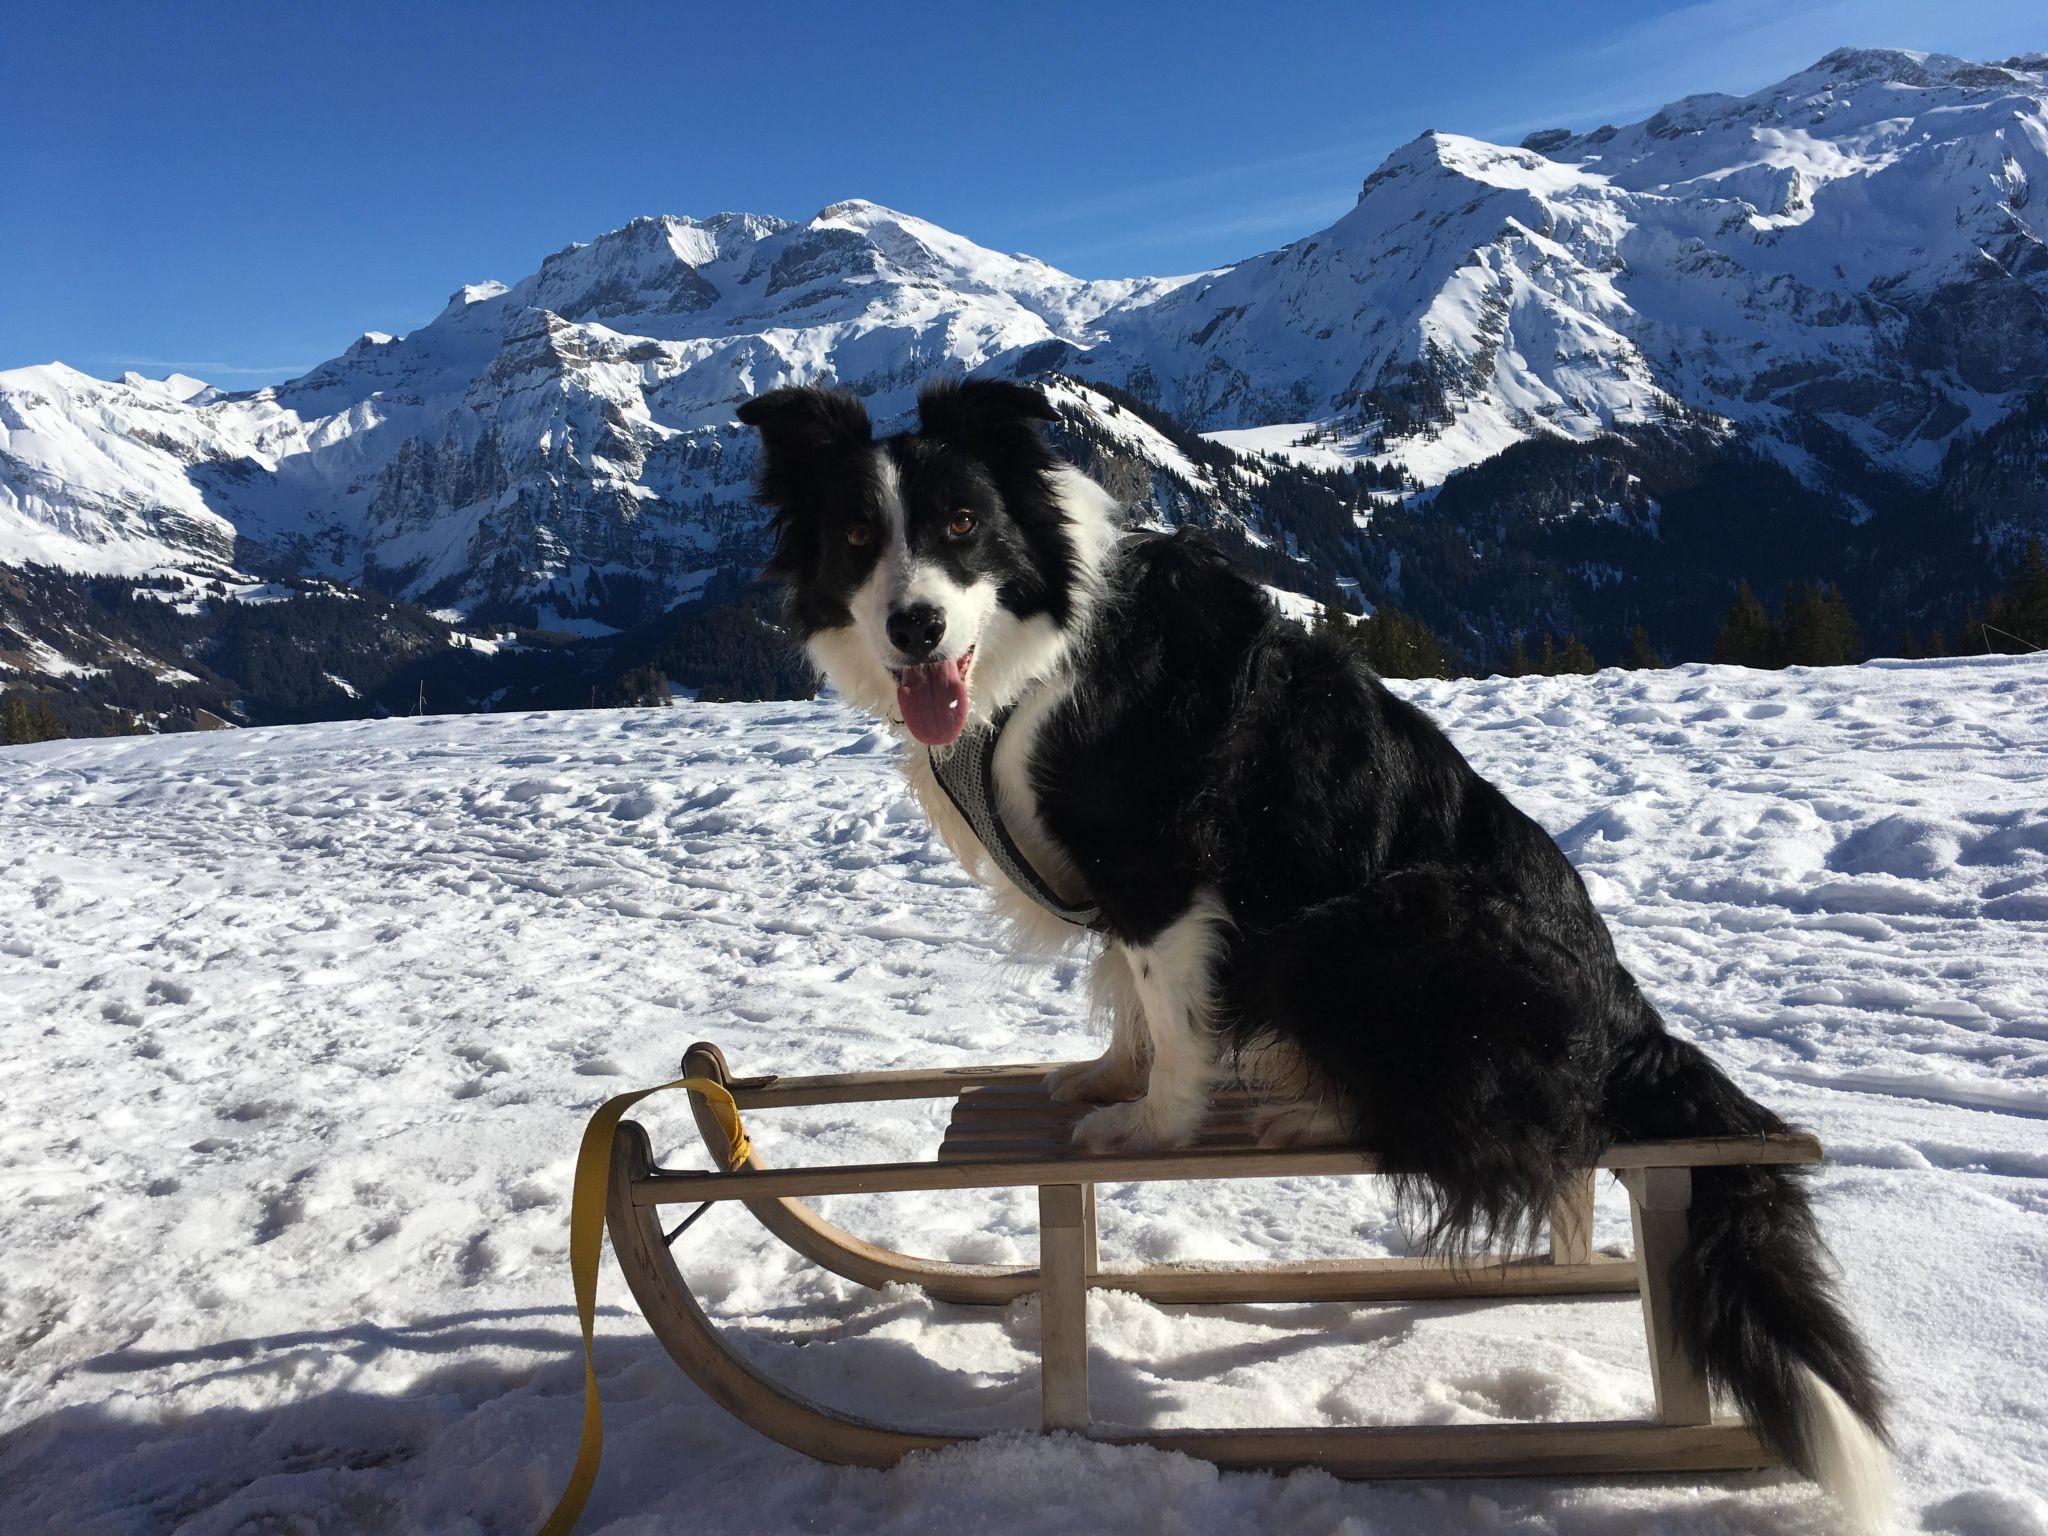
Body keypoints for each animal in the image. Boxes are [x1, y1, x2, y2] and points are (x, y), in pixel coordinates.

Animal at [737, 378, 1884, 1523]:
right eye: (856, 535)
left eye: (963, 524)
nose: (914, 623)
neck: (1038, 656)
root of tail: (1622, 1017)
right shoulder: (1118, 886)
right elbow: (1127, 1000)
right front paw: (1107, 1076)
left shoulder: (1158, 864)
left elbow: (1169, 1012)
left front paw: (1150, 1126)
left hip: (1359, 921)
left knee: (1470, 1126)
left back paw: (1312, 1108)